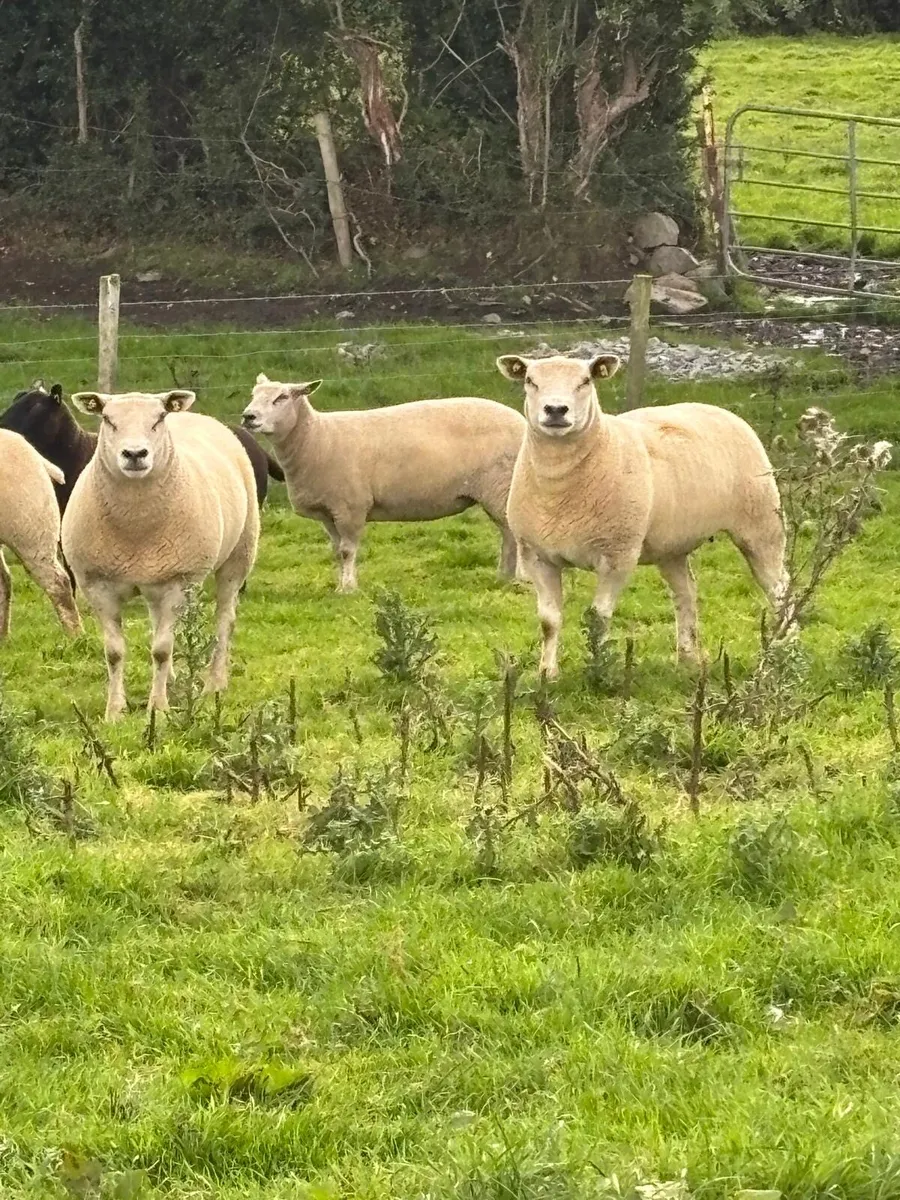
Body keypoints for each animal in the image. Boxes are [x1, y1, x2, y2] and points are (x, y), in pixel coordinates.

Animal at [61, 390, 259, 721]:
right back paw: (175, 682)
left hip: (239, 553)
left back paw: (215, 683)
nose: (135, 454)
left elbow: (162, 650)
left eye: (159, 418)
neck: (135, 526)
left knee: (224, 620)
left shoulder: (177, 582)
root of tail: (194, 415)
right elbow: (114, 652)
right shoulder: (97, 585)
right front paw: (114, 712)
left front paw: (159, 709)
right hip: (159, 576)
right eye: (107, 419)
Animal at [241, 373, 526, 591]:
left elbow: (347, 551)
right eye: (253, 394)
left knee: (514, 533)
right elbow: (337, 551)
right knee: (508, 534)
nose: (248, 416)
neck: (317, 438)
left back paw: (518, 578)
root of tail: (522, 421)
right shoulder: (328, 513)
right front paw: (343, 584)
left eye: (282, 397)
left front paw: (347, 589)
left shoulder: (351, 507)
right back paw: (504, 577)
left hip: (501, 486)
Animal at [497, 353, 789, 678]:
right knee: (686, 593)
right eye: (530, 380)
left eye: (585, 381)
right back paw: (687, 658)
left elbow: (598, 619)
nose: (556, 410)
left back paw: (784, 650)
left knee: (780, 590)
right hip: (672, 545)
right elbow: (549, 621)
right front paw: (547, 675)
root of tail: (717, 409)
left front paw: (599, 671)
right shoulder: (537, 556)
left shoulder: (618, 555)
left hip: (761, 525)